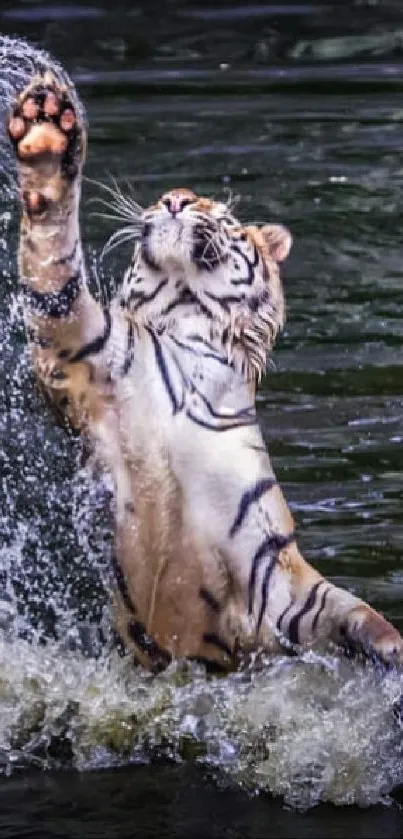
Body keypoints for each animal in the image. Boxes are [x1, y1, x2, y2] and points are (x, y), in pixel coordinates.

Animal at [5, 59, 403, 676]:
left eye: (222, 211)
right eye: (176, 198)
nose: (175, 197)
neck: (187, 331)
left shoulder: (274, 571)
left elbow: (348, 610)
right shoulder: (82, 350)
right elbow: (53, 263)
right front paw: (44, 133)